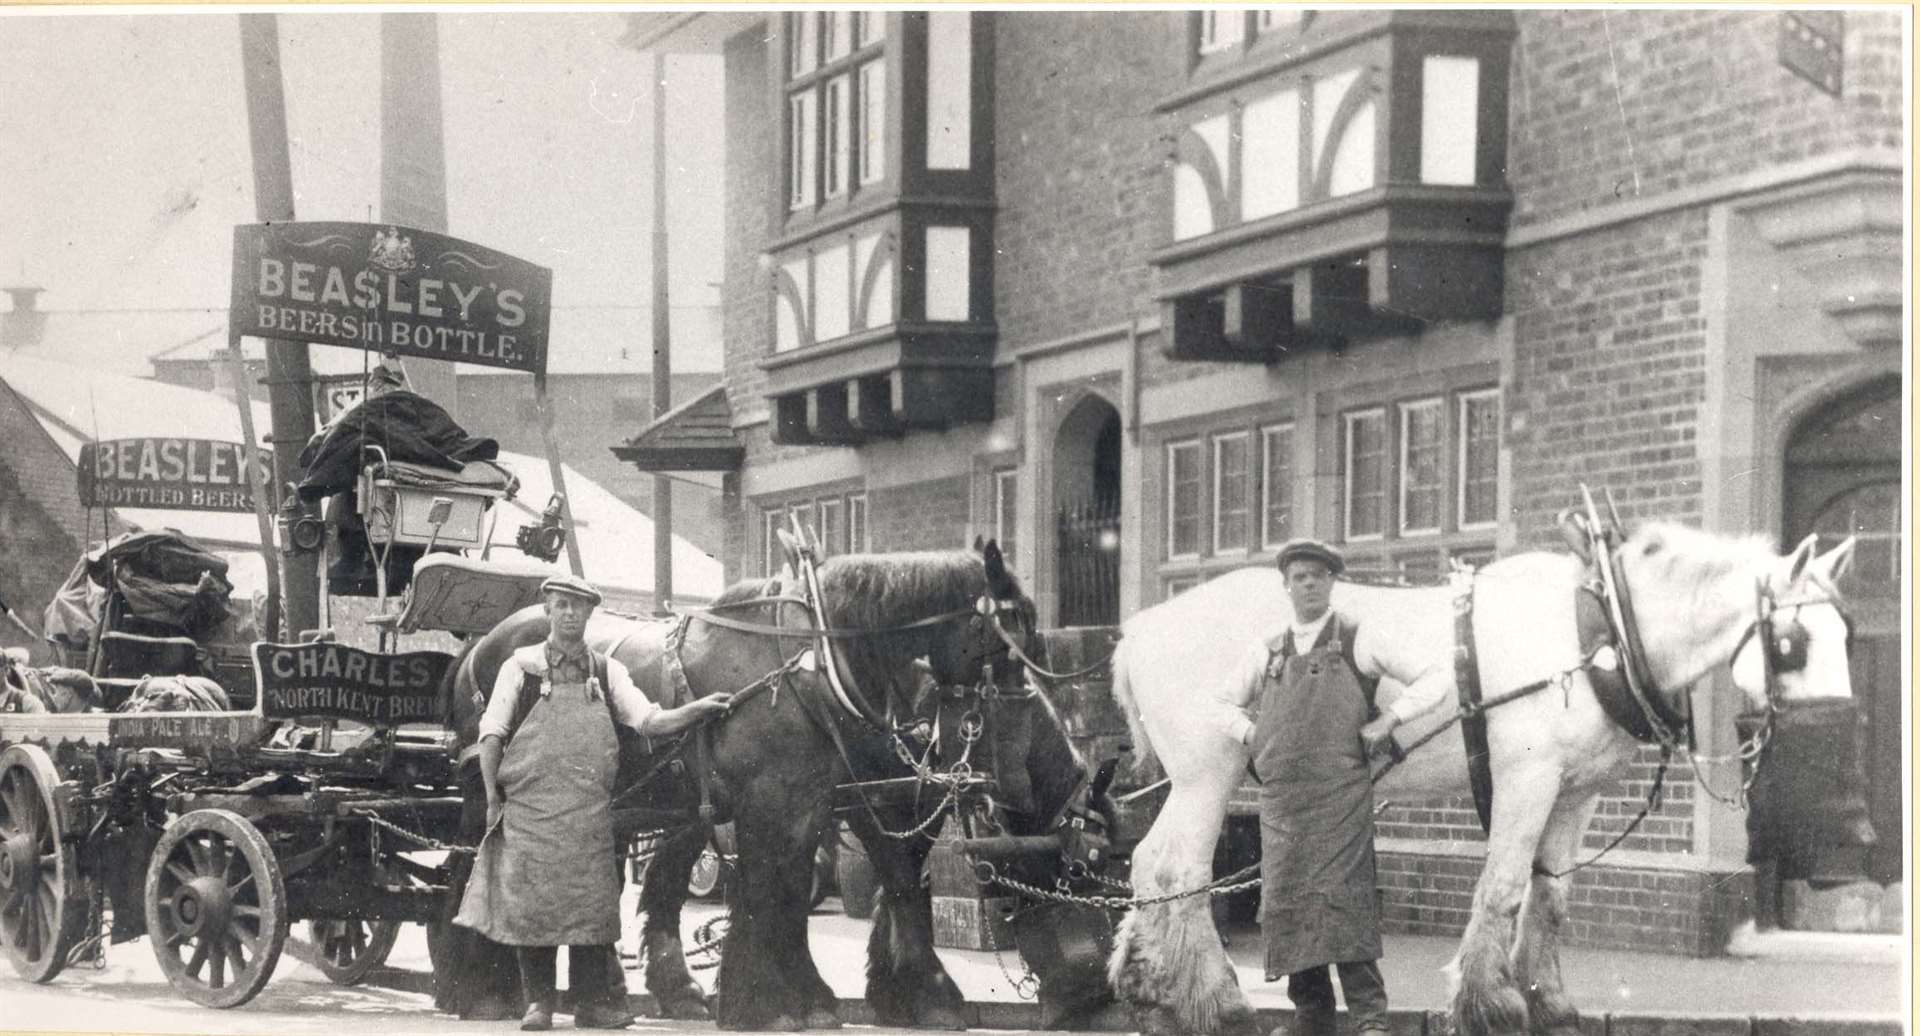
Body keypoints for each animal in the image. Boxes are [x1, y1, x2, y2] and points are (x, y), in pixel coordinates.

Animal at [422, 544, 1113, 1028]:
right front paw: (782, 1001)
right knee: (472, 874)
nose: (1093, 992)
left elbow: (852, 889)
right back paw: (479, 988)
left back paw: (617, 997)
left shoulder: (821, 802)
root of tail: (478, 644)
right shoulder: (782, 803)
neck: (819, 666)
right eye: (1010, 638)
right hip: (489, 797)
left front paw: (860, 994)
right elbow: (774, 895)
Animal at [1121, 525, 1850, 1036]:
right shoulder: (1528, 776)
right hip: (1210, 772)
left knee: (1147, 861)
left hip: (1189, 780)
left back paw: (1147, 981)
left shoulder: (1576, 791)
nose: (1837, 724)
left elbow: (1550, 895)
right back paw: (1217, 1000)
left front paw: (1549, 1000)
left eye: (1846, 628)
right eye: (1795, 640)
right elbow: (1502, 885)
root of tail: (1137, 630)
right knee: (1182, 870)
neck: (1599, 632)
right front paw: (1489, 1002)